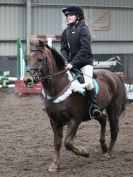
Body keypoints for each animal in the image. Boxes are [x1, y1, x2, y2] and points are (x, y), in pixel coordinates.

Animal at [24, 40, 127, 171]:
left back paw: (108, 154)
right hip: (95, 112)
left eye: (40, 59)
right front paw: (55, 164)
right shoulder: (54, 121)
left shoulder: (74, 120)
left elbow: (68, 143)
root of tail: (114, 75)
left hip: (114, 110)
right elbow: (57, 142)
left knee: (114, 130)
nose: (27, 80)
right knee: (103, 119)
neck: (59, 87)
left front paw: (84, 152)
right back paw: (103, 147)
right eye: (28, 58)